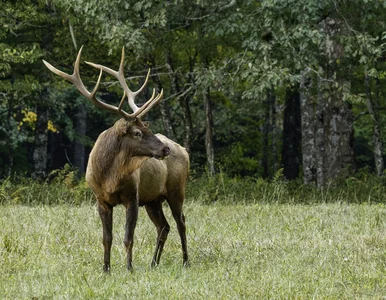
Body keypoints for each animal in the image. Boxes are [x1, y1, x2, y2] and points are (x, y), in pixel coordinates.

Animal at [43, 47, 189, 272]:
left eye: (147, 127)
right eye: (137, 132)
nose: (164, 149)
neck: (109, 177)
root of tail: (183, 149)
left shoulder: (133, 197)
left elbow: (128, 238)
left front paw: (129, 268)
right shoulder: (101, 199)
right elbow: (107, 238)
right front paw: (106, 269)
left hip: (176, 190)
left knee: (181, 221)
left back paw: (185, 261)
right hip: (153, 199)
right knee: (164, 227)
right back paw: (153, 262)